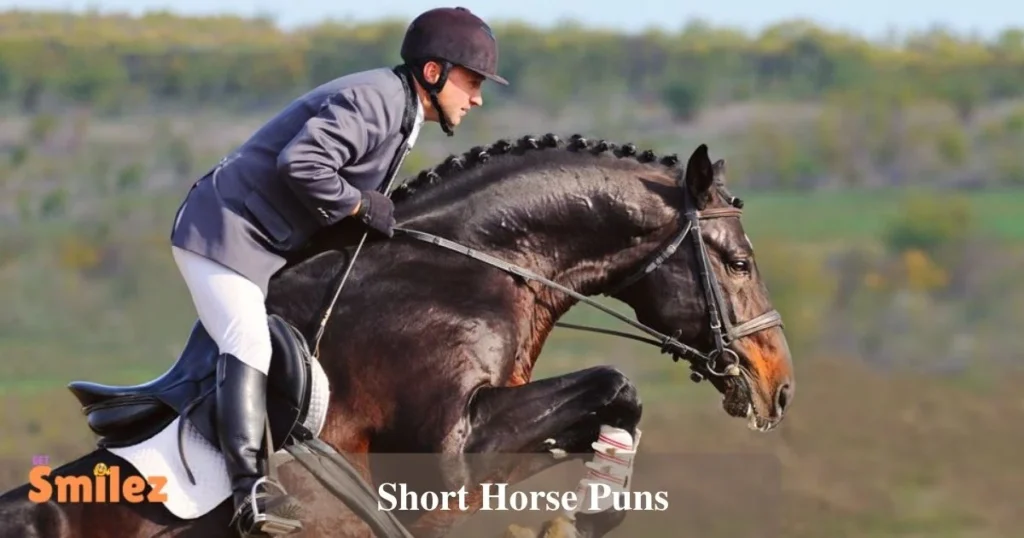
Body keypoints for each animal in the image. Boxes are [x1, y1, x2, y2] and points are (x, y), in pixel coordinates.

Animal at [0, 133, 795, 538]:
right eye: (740, 262)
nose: (778, 387)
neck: (465, 272)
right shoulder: (448, 453)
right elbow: (615, 381)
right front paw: (584, 516)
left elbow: (615, 402)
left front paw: (589, 513)